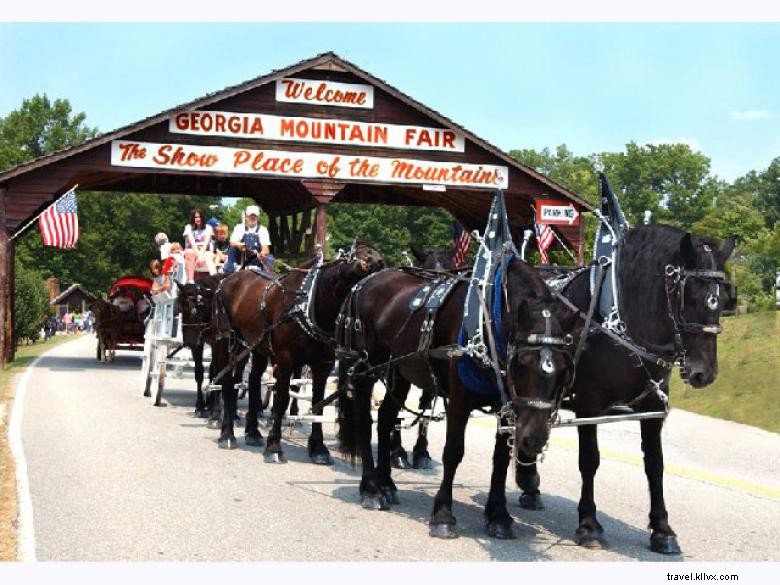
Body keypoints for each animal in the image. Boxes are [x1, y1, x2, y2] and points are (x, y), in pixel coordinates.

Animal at [212, 243, 386, 460]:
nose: (377, 260)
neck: (309, 303)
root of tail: (231, 278)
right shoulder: (285, 360)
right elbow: (281, 399)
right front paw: (274, 446)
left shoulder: (323, 365)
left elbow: (318, 403)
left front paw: (318, 448)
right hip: (228, 342)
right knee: (228, 383)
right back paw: (227, 434)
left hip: (258, 348)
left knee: (252, 382)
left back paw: (252, 432)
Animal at [338, 256, 580, 540]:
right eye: (521, 361)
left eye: (564, 368)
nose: (533, 439)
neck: (489, 321)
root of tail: (365, 281)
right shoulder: (459, 399)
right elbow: (453, 452)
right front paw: (443, 514)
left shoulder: (506, 404)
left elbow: (500, 459)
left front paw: (498, 516)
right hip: (365, 367)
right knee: (365, 423)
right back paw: (371, 489)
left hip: (399, 370)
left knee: (386, 419)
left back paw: (387, 484)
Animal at [516, 225, 736, 552]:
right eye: (689, 295)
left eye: (722, 300)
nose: (703, 373)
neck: (621, 323)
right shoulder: (588, 405)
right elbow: (589, 460)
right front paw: (589, 524)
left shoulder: (653, 407)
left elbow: (655, 464)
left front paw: (662, 529)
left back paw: (529, 486)